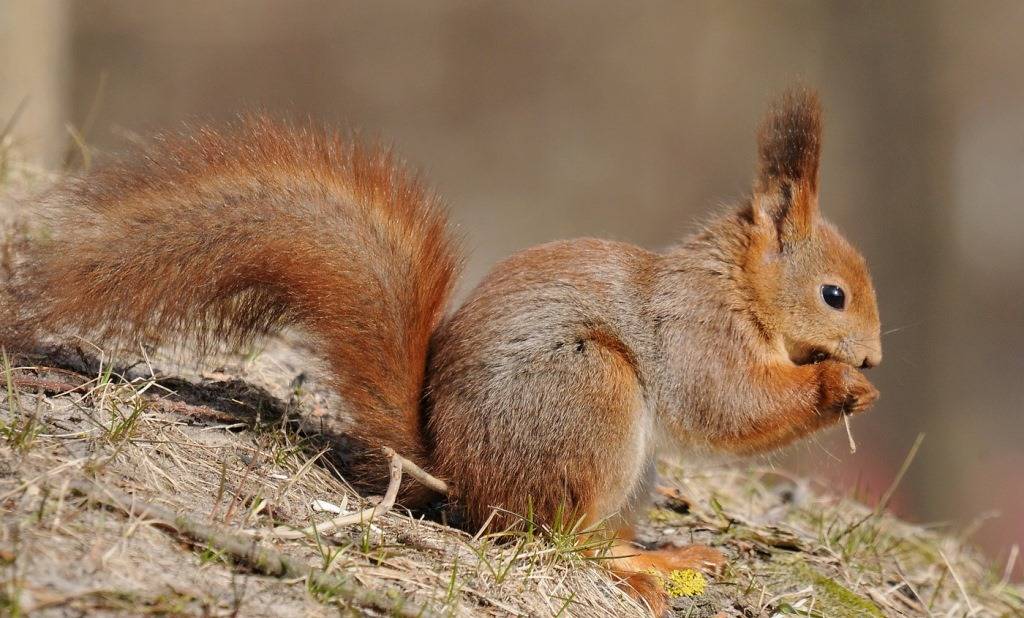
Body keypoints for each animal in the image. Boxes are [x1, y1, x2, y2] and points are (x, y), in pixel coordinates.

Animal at [6, 87, 880, 613]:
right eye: (834, 295)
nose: (873, 359)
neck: (738, 289)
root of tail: (453, 470)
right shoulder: (696, 332)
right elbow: (728, 404)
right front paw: (838, 388)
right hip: (588, 394)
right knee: (548, 541)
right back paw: (629, 569)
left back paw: (660, 554)